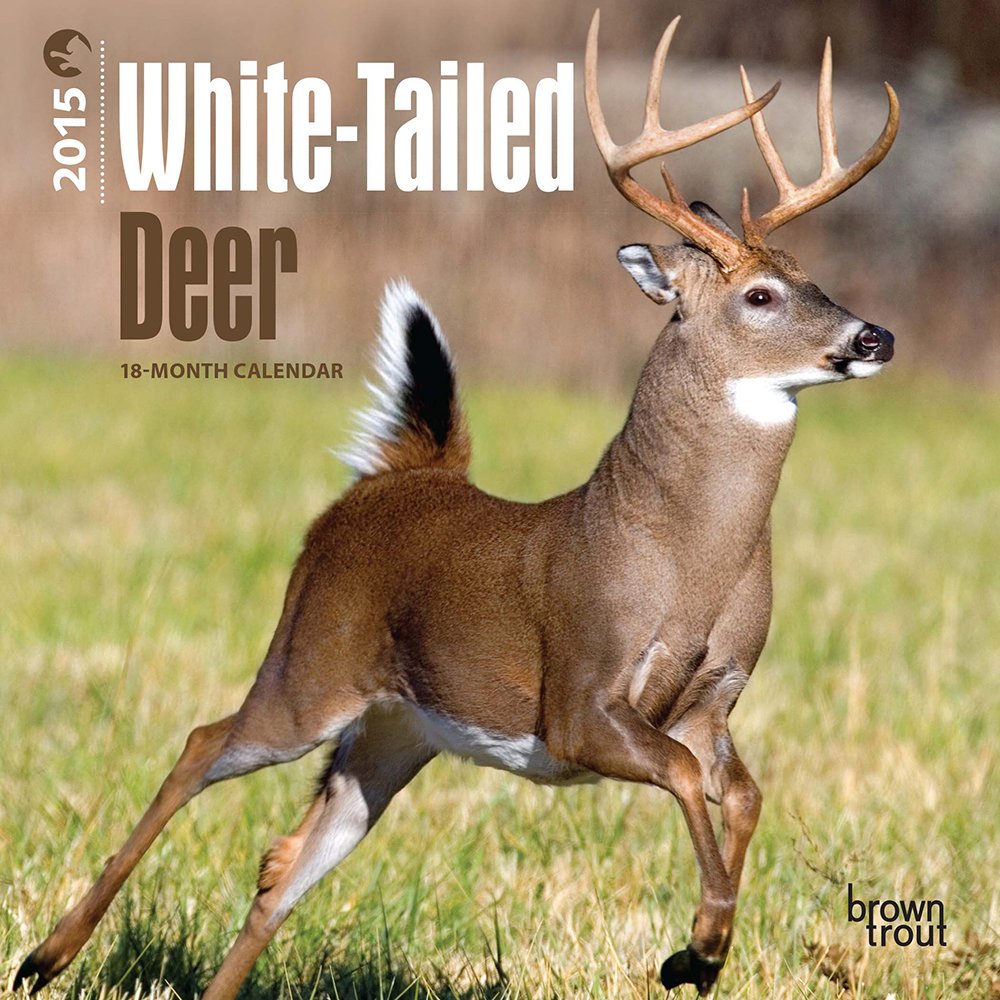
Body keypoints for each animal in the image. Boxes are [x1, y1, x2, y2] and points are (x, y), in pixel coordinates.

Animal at [14, 10, 899, 999]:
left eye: (813, 276)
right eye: (760, 294)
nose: (875, 335)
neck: (687, 565)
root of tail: (398, 476)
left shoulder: (714, 703)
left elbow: (742, 793)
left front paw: (697, 953)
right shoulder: (580, 696)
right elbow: (676, 771)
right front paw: (698, 947)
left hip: (400, 725)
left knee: (288, 860)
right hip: (310, 660)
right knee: (204, 744)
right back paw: (45, 955)